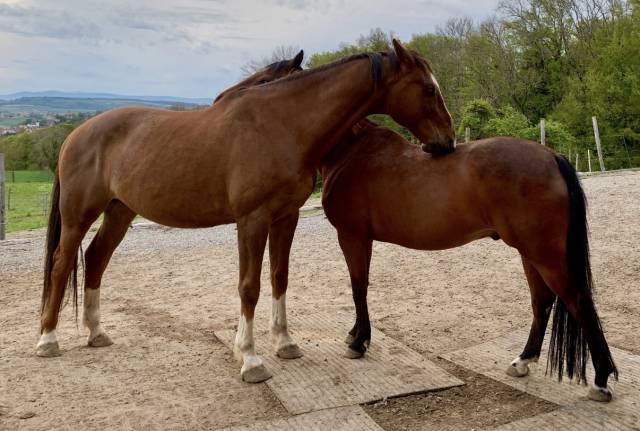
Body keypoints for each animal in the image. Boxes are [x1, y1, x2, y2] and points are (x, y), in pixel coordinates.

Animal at [37, 40, 456, 383]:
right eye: (428, 88)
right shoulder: (251, 221)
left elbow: (279, 277)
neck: (281, 125)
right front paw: (251, 360)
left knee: (95, 259)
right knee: (61, 265)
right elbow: (249, 286)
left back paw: (95, 333)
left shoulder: (286, 218)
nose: (447, 142)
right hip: (78, 217)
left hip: (119, 213)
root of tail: (77, 134)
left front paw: (284, 343)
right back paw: (47, 339)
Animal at [321, 120, 618, 402]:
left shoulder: (352, 236)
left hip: (543, 254)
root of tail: (552, 156)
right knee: (542, 301)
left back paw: (600, 381)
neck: (353, 152)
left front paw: (358, 342)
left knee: (578, 301)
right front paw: (355, 334)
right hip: (531, 253)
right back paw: (523, 361)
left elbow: (358, 288)